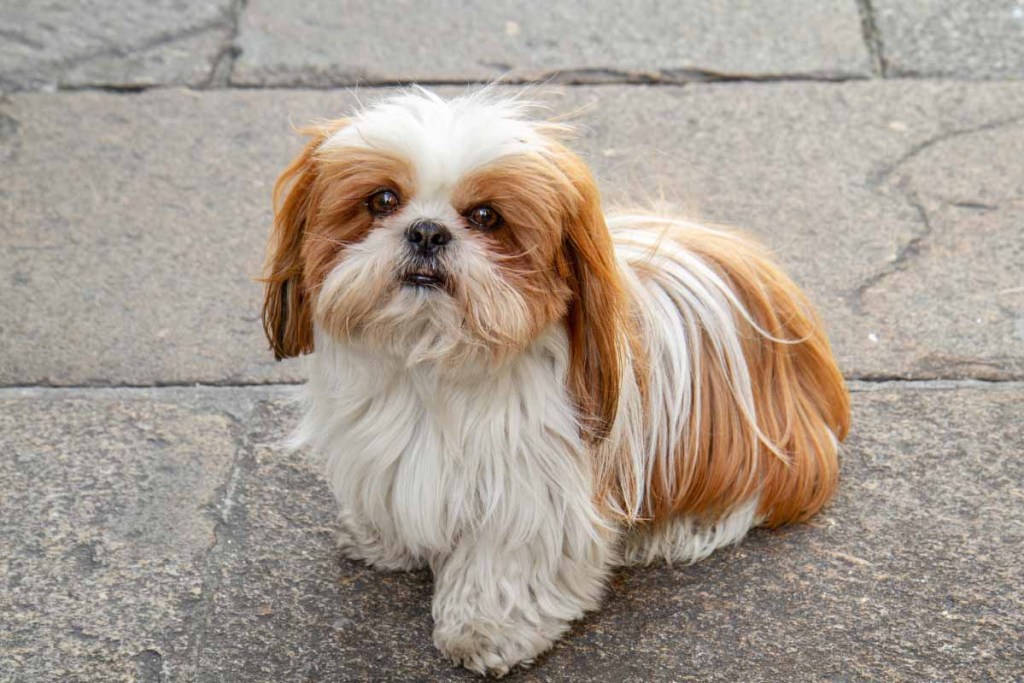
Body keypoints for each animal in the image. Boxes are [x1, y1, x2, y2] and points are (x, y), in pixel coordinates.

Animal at [262, 87, 847, 679]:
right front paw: (383, 540)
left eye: (486, 216)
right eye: (382, 200)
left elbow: (504, 564)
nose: (427, 230)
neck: (436, 363)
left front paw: (484, 631)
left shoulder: (532, 492)